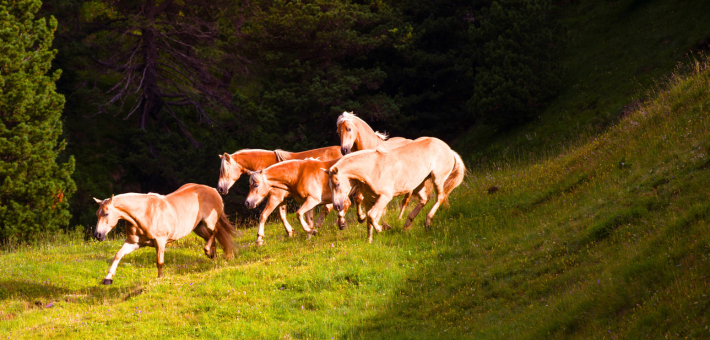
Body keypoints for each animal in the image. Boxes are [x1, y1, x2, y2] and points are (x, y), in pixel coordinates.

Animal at [92, 185, 239, 282]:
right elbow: (118, 255)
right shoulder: (134, 243)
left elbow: (159, 261)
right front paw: (108, 279)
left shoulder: (160, 241)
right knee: (212, 236)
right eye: (97, 214)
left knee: (216, 232)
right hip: (198, 228)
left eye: (106, 213)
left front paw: (160, 279)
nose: (97, 235)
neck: (145, 213)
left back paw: (208, 251)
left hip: (208, 222)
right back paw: (212, 255)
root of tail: (213, 190)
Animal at [328, 137, 468, 243]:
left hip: (437, 179)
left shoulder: (385, 197)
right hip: (419, 184)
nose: (337, 206)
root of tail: (448, 149)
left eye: (337, 184)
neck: (373, 168)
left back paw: (427, 221)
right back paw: (407, 224)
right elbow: (369, 219)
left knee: (440, 197)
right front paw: (370, 241)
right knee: (424, 199)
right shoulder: (369, 200)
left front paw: (383, 229)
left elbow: (371, 216)